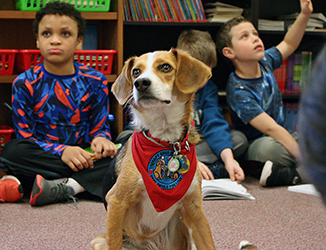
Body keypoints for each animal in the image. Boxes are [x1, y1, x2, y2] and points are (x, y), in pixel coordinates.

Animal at [91, 47, 216, 249]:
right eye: (136, 71)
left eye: (165, 67)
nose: (140, 83)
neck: (165, 140)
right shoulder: (116, 201)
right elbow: (114, 241)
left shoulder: (195, 210)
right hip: (100, 241)